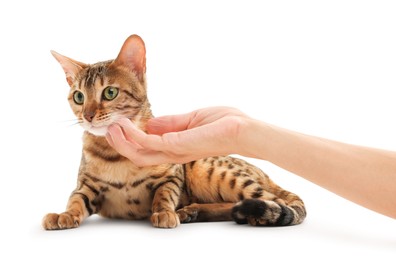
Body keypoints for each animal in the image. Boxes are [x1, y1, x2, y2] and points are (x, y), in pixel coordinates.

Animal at [43, 34, 308, 230]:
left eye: (109, 92)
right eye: (79, 97)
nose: (87, 116)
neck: (115, 155)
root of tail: (263, 173)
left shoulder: (173, 174)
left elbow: (165, 193)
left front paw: (164, 212)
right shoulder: (87, 186)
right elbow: (75, 200)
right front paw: (64, 214)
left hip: (211, 169)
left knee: (273, 200)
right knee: (239, 205)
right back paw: (195, 211)